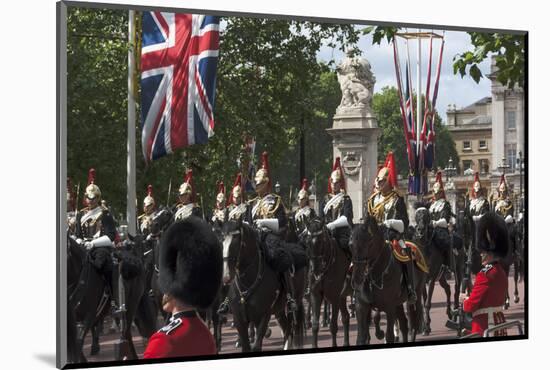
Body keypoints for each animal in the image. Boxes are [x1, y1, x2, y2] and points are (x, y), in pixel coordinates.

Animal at [223, 220, 308, 352]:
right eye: (222, 240)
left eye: (236, 241)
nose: (226, 276)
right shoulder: (239, 319)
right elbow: (246, 346)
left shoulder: (263, 316)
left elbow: (257, 346)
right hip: (278, 310)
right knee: (285, 328)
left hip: (294, 304)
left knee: (289, 330)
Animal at [306, 217, 354, 346]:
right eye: (307, 242)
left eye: (321, 240)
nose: (315, 269)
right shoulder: (316, 295)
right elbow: (315, 325)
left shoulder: (334, 297)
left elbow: (333, 326)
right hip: (343, 297)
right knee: (346, 317)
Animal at [352, 215, 430, 346]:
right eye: (350, 244)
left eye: (369, 242)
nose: (357, 278)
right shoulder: (361, 306)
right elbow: (361, 338)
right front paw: (378, 333)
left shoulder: (389, 308)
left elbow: (389, 336)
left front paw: (381, 333)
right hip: (398, 302)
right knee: (404, 323)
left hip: (416, 294)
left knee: (414, 321)